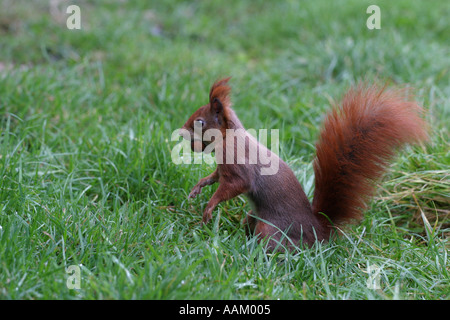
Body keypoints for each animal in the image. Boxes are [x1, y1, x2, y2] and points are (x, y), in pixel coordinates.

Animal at [178, 78, 426, 250]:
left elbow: (235, 185)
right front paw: (198, 188)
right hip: (255, 216)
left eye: (200, 122)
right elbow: (213, 177)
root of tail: (318, 231)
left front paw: (209, 207)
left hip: (269, 228)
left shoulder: (239, 166)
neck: (228, 138)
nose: (181, 131)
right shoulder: (222, 169)